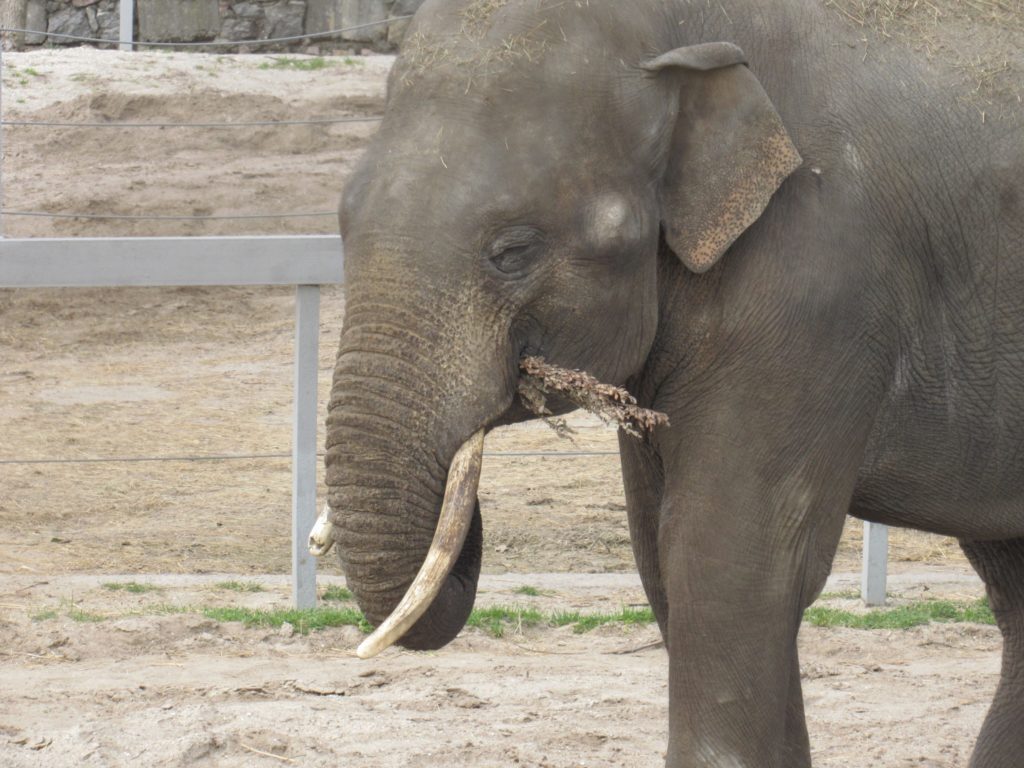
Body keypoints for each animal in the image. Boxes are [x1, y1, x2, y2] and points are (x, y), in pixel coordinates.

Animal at [313, 0, 1024, 765]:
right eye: (343, 223)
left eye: (513, 251)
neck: (675, 32)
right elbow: (659, 556)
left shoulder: (820, 279)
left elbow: (729, 564)